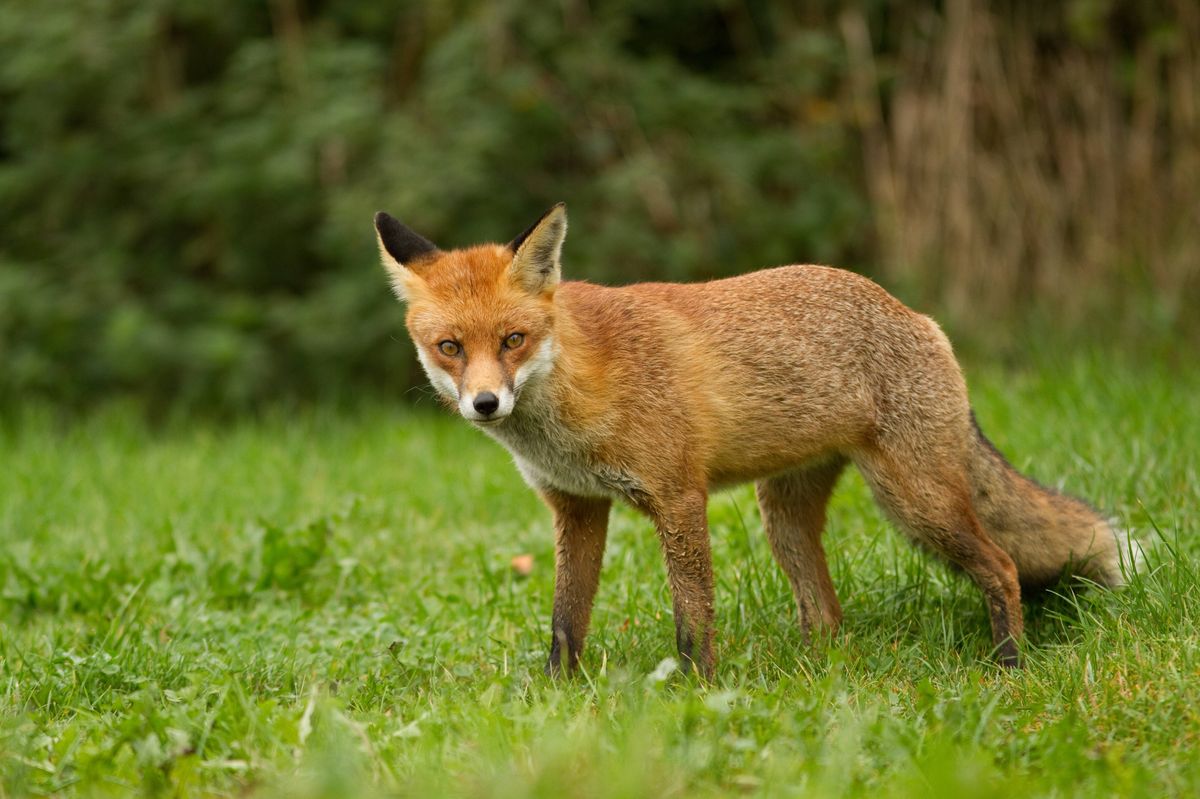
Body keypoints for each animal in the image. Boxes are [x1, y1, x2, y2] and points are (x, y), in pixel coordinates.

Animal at [373, 202, 1138, 677]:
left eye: (512, 339)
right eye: (449, 347)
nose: (485, 403)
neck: (572, 401)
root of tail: (915, 314)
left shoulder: (678, 497)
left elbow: (692, 618)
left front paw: (698, 694)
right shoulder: (578, 507)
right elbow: (566, 622)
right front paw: (558, 699)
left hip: (916, 502)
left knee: (1001, 565)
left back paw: (1007, 668)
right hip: (786, 518)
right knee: (827, 614)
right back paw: (815, 679)